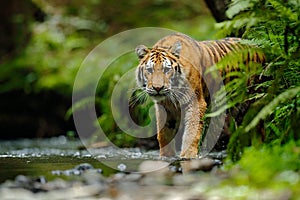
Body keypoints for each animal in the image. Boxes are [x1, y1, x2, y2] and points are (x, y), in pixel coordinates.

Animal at [135, 32, 264, 158]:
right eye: (150, 70)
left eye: (166, 70)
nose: (158, 88)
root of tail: (260, 48)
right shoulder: (165, 108)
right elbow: (164, 134)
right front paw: (166, 157)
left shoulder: (196, 103)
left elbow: (191, 132)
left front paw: (187, 157)